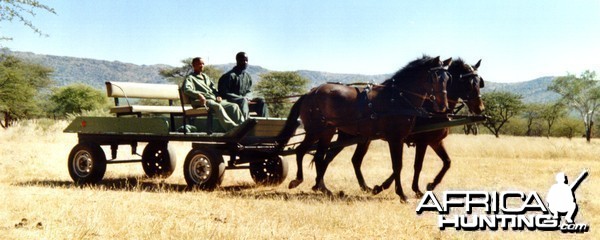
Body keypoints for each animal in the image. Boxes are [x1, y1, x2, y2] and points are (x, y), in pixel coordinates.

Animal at [280, 55, 450, 202]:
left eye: (448, 78)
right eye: (435, 77)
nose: (443, 106)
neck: (398, 98)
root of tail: (310, 92)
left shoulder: (407, 140)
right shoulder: (396, 139)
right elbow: (398, 166)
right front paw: (402, 195)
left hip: (327, 132)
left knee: (319, 156)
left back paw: (323, 188)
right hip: (315, 131)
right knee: (302, 151)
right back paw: (298, 180)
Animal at [312, 57, 486, 197]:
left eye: (479, 82)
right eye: (468, 83)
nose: (480, 108)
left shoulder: (435, 141)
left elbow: (447, 162)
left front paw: (429, 185)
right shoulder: (421, 141)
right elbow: (416, 165)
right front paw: (414, 189)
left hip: (361, 138)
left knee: (349, 159)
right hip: (348, 136)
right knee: (329, 157)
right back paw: (320, 185)